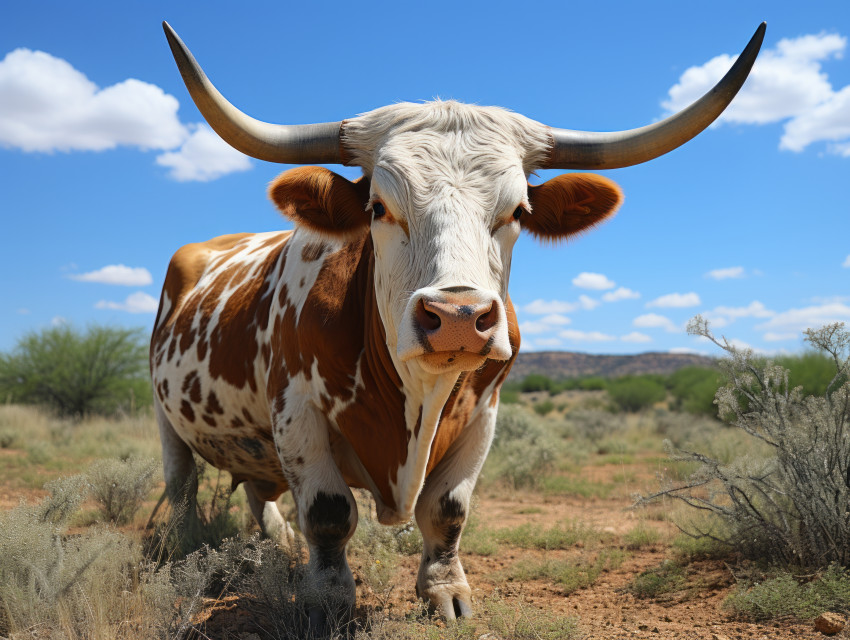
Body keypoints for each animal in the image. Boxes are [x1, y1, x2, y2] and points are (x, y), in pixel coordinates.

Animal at [152, 21, 764, 631]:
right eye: (378, 207)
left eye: (516, 211)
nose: (458, 318)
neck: (413, 397)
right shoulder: (296, 411)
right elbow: (329, 513)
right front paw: (327, 601)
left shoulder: (484, 413)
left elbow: (447, 510)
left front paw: (445, 591)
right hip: (167, 421)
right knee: (182, 485)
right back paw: (183, 547)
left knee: (261, 494)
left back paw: (275, 542)